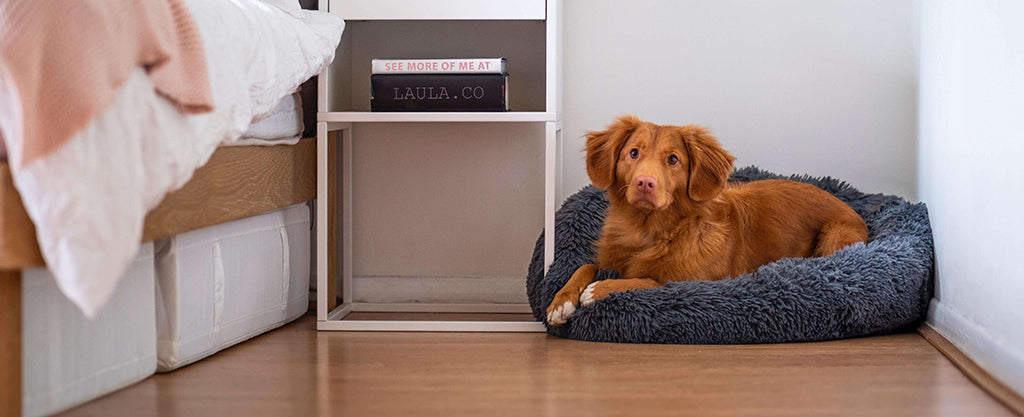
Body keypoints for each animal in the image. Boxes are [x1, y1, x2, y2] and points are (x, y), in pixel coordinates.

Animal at [548, 115, 868, 325]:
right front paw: (561, 301)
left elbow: (648, 281)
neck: (648, 230)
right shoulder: (609, 258)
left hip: (833, 236)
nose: (645, 183)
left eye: (673, 160)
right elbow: (585, 265)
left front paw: (598, 290)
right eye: (633, 153)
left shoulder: (692, 282)